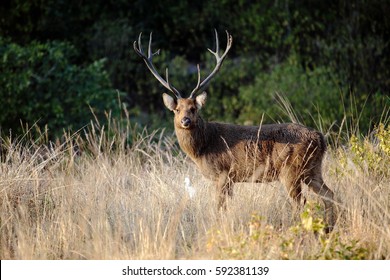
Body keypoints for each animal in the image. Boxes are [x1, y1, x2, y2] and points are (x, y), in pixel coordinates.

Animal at [133, 30, 336, 232]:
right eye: (176, 109)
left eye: (193, 108)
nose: (185, 120)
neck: (203, 146)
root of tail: (320, 138)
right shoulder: (230, 179)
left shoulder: (224, 173)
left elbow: (219, 207)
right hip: (312, 169)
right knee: (329, 194)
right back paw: (329, 226)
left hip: (291, 170)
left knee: (302, 202)